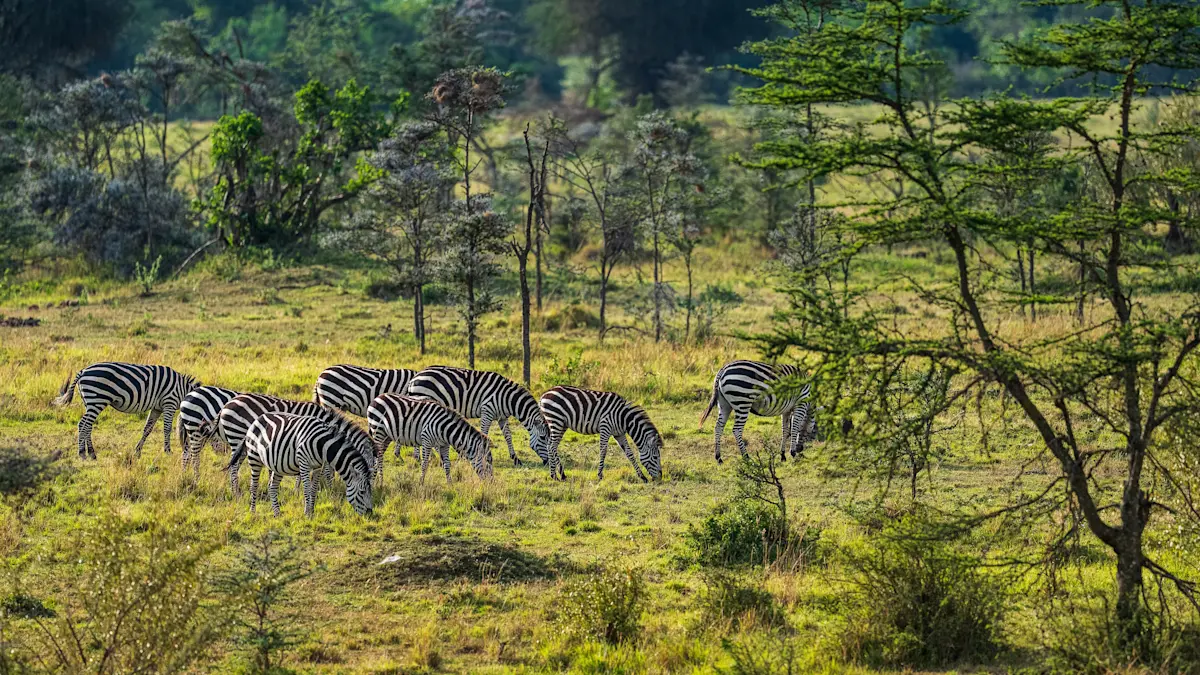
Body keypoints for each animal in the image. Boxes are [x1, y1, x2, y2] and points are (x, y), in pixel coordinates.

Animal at [51, 362, 200, 459]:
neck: (183, 390)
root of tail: (82, 371)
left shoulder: (157, 408)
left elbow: (147, 429)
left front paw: (137, 451)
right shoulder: (169, 403)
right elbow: (167, 429)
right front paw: (168, 451)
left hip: (90, 401)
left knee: (88, 425)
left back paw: (92, 453)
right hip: (97, 399)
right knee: (83, 424)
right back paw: (82, 453)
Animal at [207, 393, 374, 496]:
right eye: (369, 469)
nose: (373, 488)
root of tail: (226, 405)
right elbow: (324, 470)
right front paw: (328, 489)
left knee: (234, 466)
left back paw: (235, 491)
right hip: (237, 437)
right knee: (234, 467)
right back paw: (236, 493)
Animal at [241, 412, 373, 517]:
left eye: (370, 491)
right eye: (362, 492)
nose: (370, 513)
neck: (323, 445)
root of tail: (259, 417)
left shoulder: (318, 466)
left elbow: (313, 489)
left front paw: (312, 511)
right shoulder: (304, 463)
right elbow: (306, 489)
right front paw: (307, 513)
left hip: (277, 465)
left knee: (272, 487)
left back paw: (277, 514)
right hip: (254, 457)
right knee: (254, 485)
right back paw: (252, 511)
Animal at [405, 366, 551, 471]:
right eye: (543, 438)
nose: (547, 462)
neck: (508, 399)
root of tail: (414, 378)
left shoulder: (502, 417)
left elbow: (508, 436)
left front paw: (515, 458)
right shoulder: (487, 410)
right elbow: (484, 433)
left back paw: (422, 457)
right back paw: (421, 457)